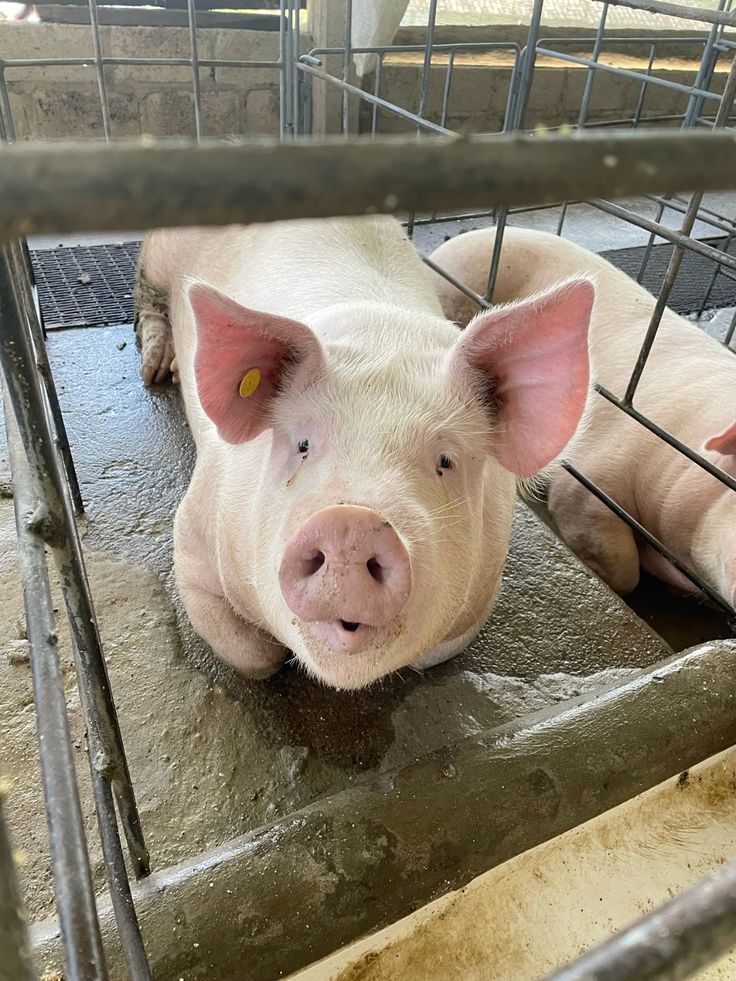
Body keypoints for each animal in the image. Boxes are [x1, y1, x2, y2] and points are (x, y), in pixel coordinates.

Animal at [134, 216, 592, 689]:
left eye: (445, 461)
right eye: (302, 444)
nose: (351, 526)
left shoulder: (483, 590)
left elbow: (429, 656)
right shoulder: (191, 540)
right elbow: (255, 658)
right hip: (157, 255)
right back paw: (160, 370)